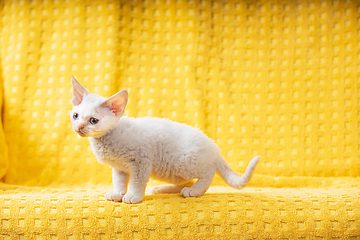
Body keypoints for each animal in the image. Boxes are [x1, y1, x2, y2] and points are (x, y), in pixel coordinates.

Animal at [70, 77, 260, 204]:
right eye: (76, 116)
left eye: (93, 120)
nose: (79, 127)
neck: (106, 139)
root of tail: (213, 146)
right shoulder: (119, 168)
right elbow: (119, 181)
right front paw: (118, 194)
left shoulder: (142, 160)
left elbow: (137, 181)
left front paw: (134, 196)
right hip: (173, 171)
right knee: (190, 178)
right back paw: (163, 190)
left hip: (184, 162)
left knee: (208, 172)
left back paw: (194, 191)